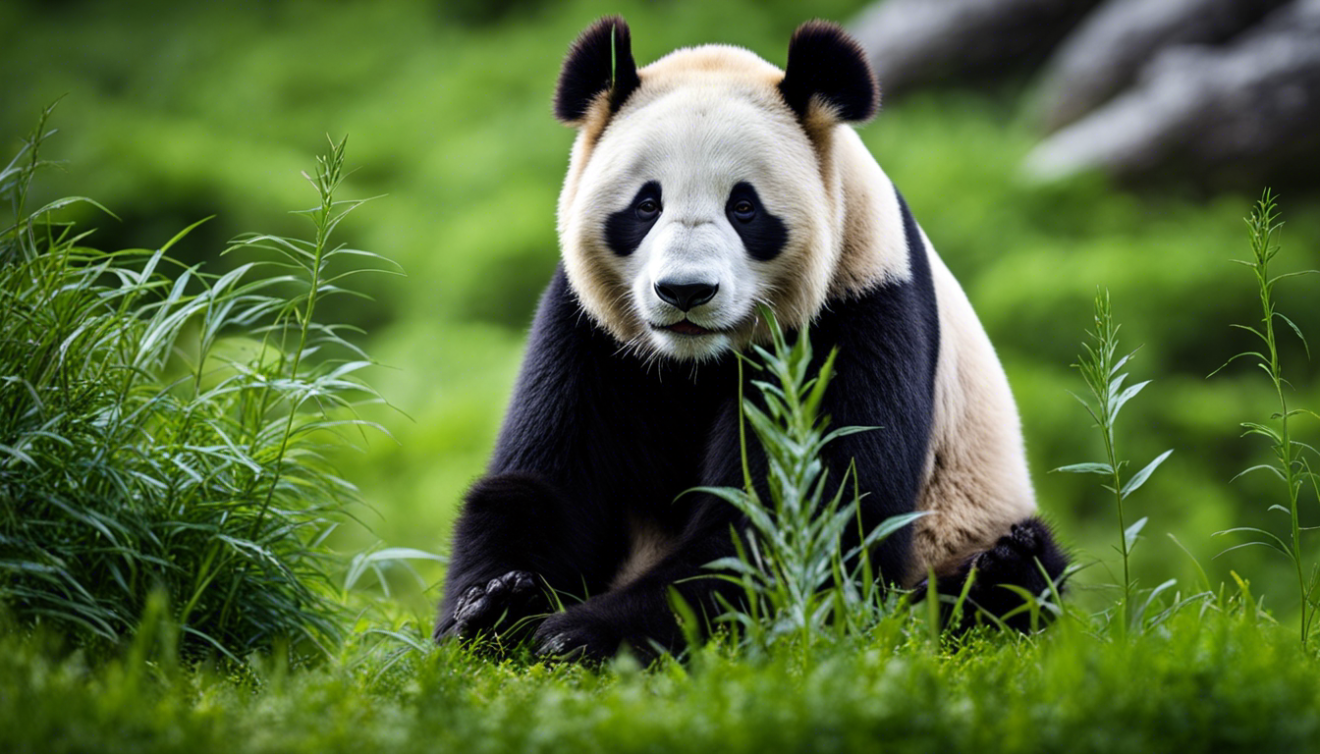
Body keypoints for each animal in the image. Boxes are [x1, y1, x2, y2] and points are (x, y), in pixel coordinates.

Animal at [434, 16, 1068, 661]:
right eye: (646, 204)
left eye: (744, 206)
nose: (685, 292)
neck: (693, 361)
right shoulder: (591, 328)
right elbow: (544, 483)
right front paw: (492, 606)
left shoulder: (856, 307)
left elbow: (799, 518)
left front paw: (583, 633)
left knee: (1028, 569)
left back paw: (991, 574)